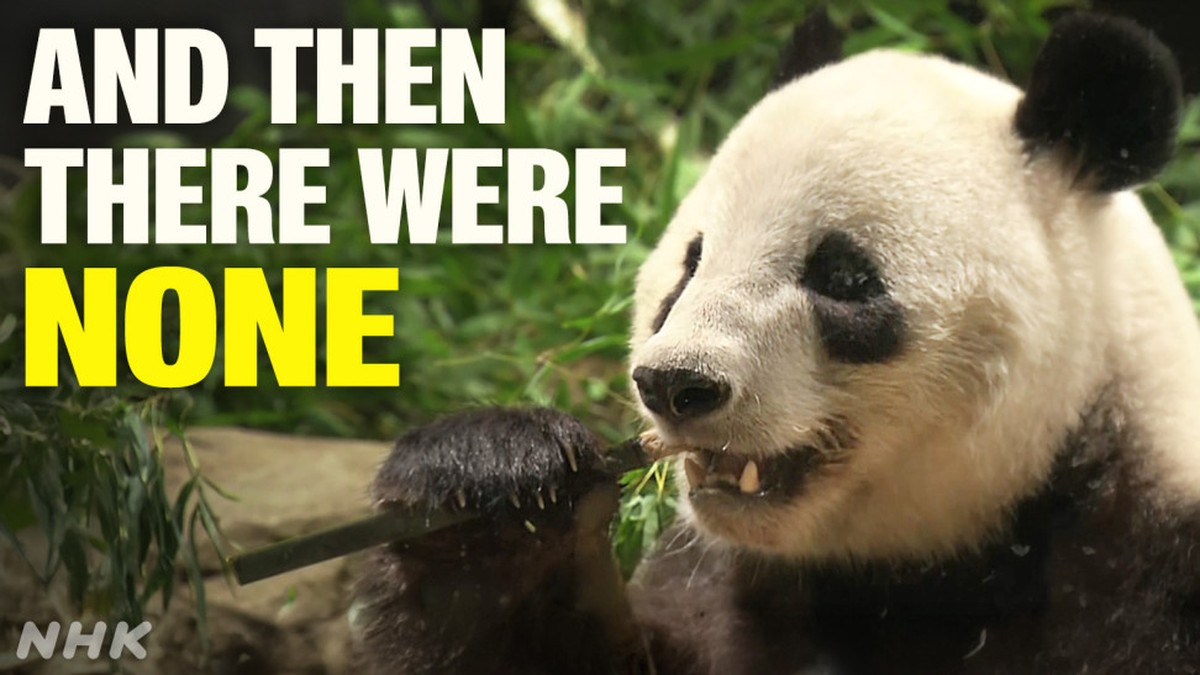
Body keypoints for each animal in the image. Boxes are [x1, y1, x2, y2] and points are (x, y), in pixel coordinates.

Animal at [354, 12, 1200, 675]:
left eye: (844, 277)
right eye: (690, 263)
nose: (676, 384)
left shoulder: (1143, 566)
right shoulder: (726, 585)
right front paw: (490, 486)